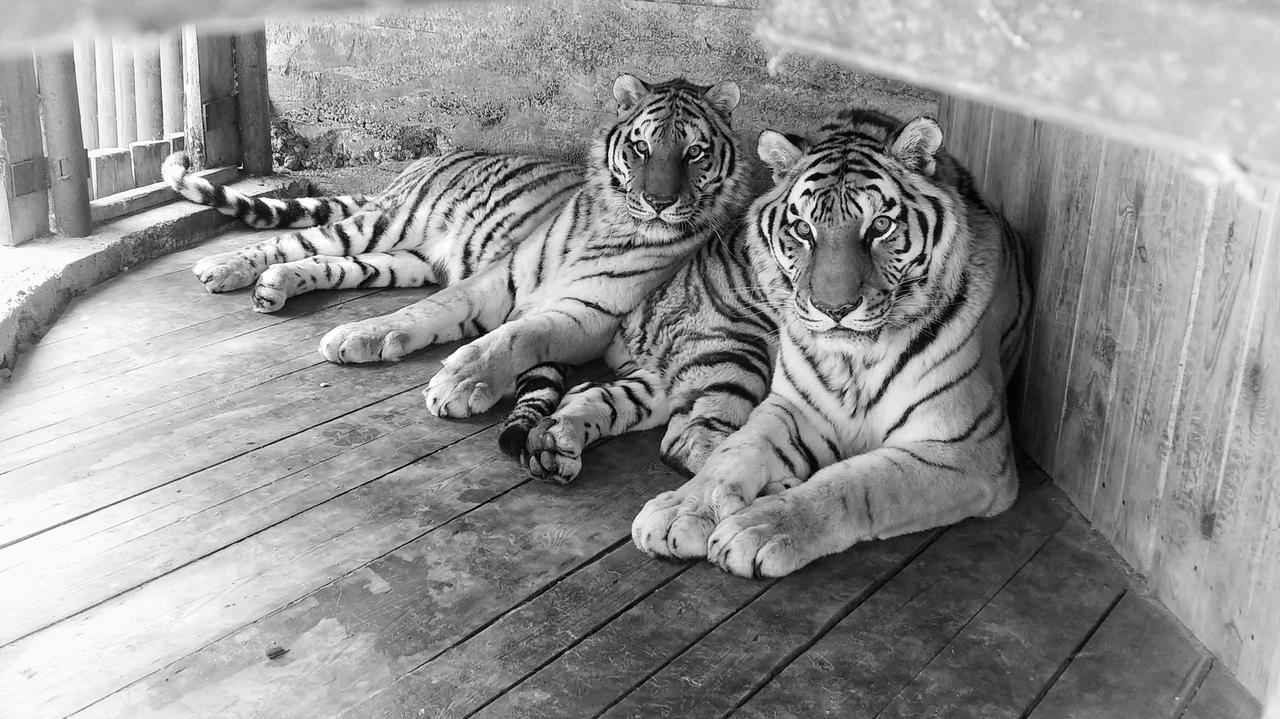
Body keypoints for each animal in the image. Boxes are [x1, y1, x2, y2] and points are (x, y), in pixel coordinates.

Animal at [164, 74, 747, 418]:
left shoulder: (588, 314)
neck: (612, 222)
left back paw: (274, 286)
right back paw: (223, 268)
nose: (658, 201)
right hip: (387, 225)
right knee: (296, 239)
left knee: (329, 263)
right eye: (641, 147)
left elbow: (515, 336)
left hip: (400, 261)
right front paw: (362, 335)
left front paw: (459, 382)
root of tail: (418, 165)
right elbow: (427, 311)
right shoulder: (496, 278)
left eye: (694, 152)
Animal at [595, 107, 1031, 579]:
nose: (833, 308)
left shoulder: (967, 450)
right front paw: (681, 511)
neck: (858, 360)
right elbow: (734, 451)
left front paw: (757, 529)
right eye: (803, 229)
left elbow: (858, 483)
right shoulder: (792, 407)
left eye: (880, 226)